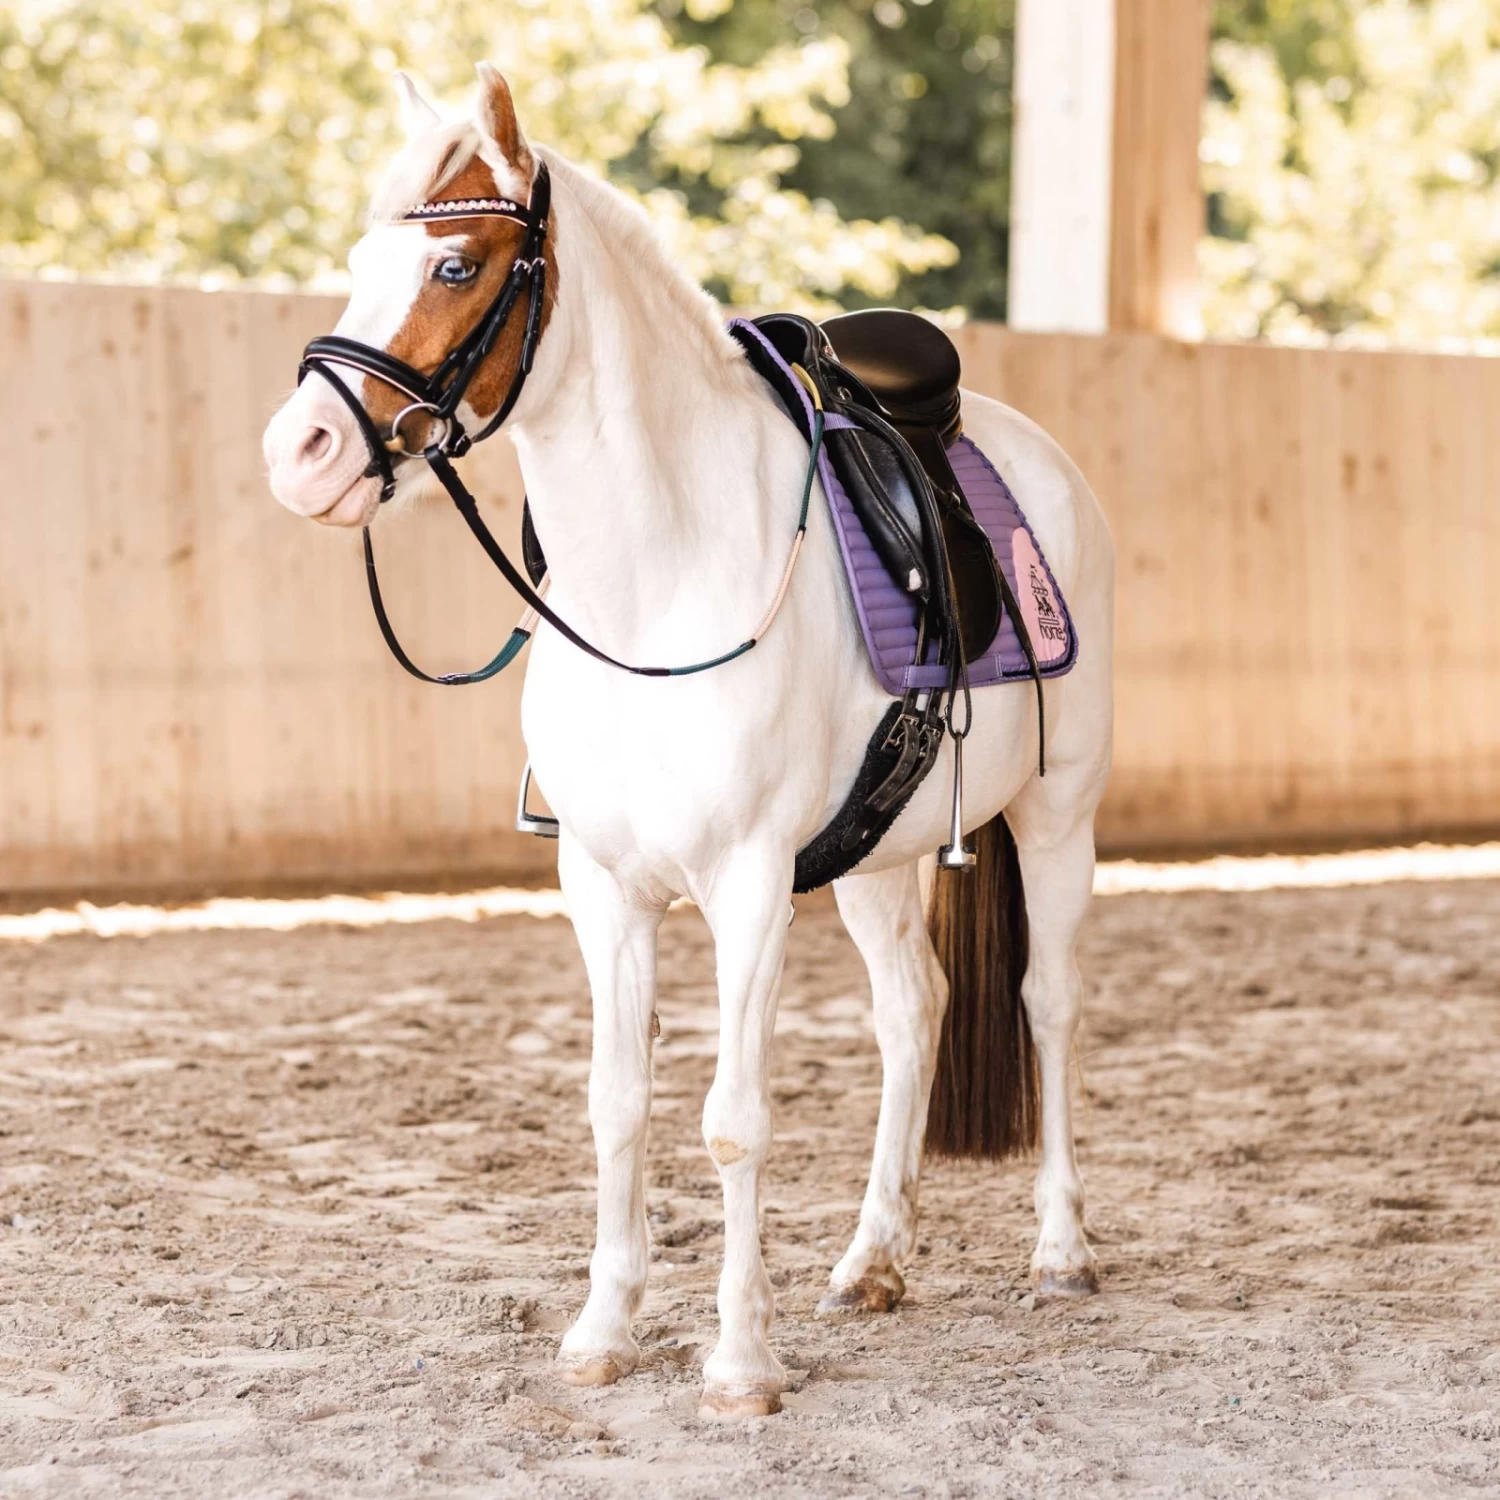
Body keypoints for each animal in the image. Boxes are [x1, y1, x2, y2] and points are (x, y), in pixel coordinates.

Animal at [262, 65, 1114, 1420]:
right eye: (355, 258)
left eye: (455, 265)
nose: (302, 455)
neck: (654, 586)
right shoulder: (602, 886)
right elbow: (618, 1105)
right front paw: (602, 1332)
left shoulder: (748, 889)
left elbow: (732, 1120)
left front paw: (740, 1363)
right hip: (879, 857)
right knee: (914, 1012)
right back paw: (872, 1260)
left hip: (1059, 817)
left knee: (1049, 1004)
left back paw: (1062, 1250)